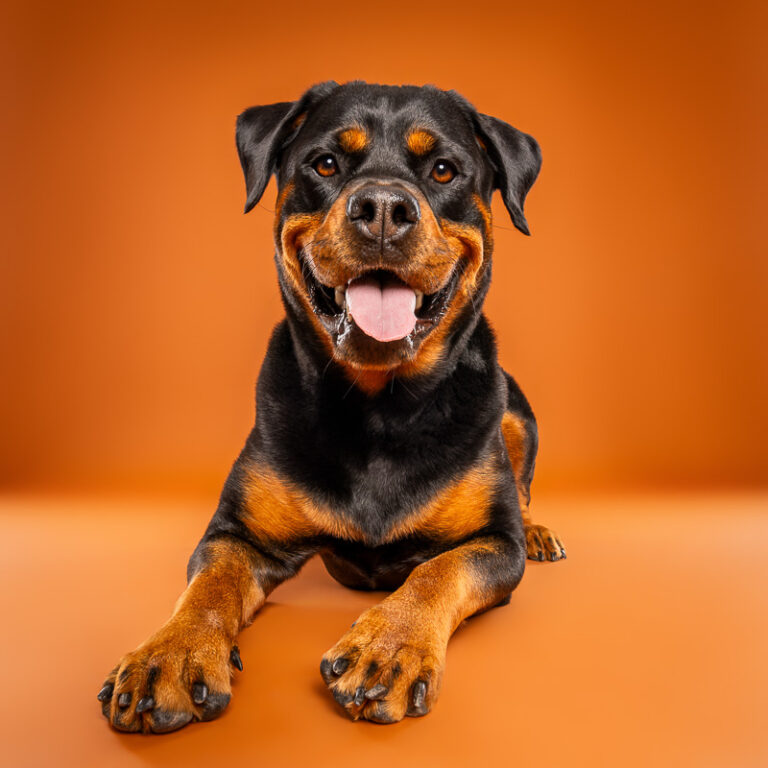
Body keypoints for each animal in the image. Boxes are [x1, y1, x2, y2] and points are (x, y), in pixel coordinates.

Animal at [96, 82, 564, 732]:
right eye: (324, 164)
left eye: (444, 170)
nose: (384, 208)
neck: (380, 407)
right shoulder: (239, 534)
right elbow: (208, 587)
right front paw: (170, 654)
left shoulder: (495, 543)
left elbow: (438, 569)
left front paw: (388, 648)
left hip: (518, 415)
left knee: (521, 483)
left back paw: (539, 529)